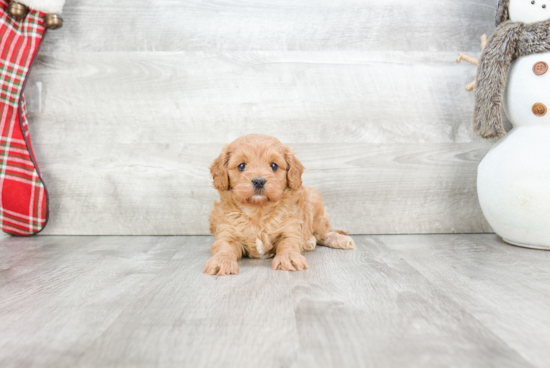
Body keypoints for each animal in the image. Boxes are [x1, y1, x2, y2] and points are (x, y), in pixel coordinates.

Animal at [205, 134, 356, 274]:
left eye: (274, 165)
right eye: (241, 166)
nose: (259, 181)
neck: (258, 210)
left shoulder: (289, 229)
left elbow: (288, 244)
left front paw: (288, 258)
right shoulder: (227, 233)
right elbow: (224, 248)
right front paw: (221, 261)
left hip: (316, 207)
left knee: (323, 233)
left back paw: (336, 240)